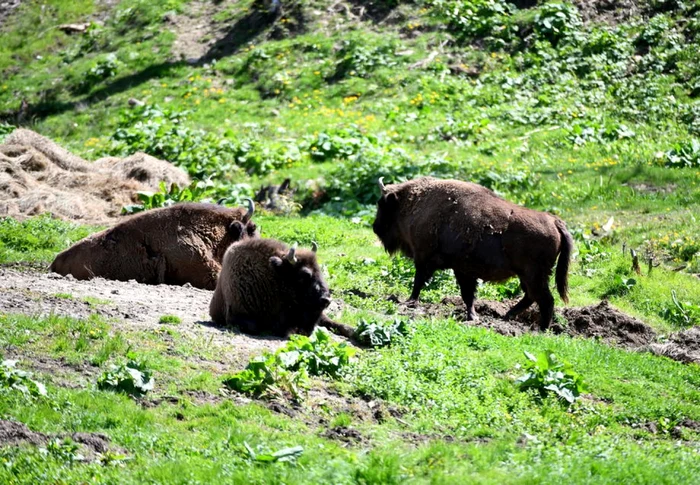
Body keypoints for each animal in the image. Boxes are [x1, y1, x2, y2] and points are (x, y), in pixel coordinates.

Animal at [208, 237, 356, 336]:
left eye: (319, 270)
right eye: (304, 275)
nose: (326, 299)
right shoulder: (235, 315)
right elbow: (256, 326)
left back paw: (352, 330)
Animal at [374, 176, 572, 330]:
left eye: (381, 204)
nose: (375, 227)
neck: (414, 202)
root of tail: (555, 221)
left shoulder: (424, 259)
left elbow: (419, 282)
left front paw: (410, 302)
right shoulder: (463, 270)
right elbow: (468, 295)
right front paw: (472, 316)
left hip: (534, 275)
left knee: (545, 300)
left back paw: (540, 329)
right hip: (526, 275)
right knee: (532, 296)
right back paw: (508, 316)